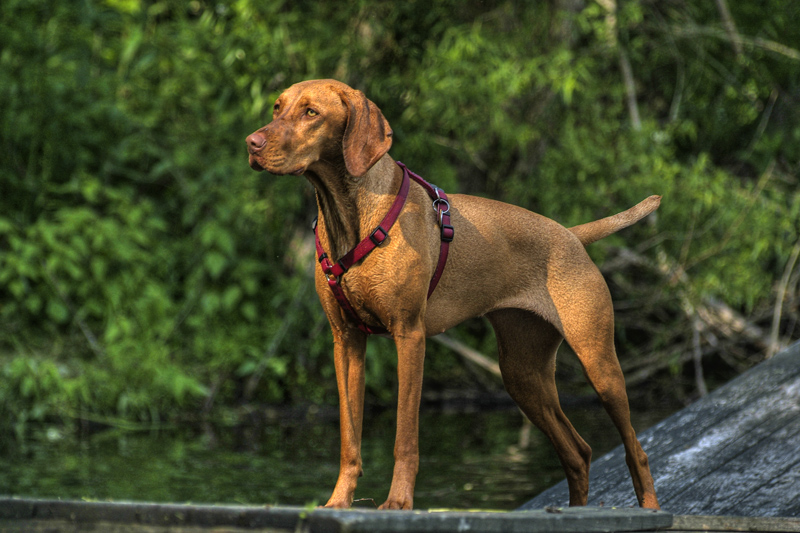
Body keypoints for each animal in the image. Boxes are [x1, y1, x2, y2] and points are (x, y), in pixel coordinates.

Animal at [247, 78, 660, 508]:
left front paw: (399, 502)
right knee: (578, 452)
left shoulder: (409, 336)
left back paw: (649, 508)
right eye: (277, 107)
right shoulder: (346, 342)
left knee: (636, 450)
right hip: (523, 374)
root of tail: (571, 235)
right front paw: (338, 501)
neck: (352, 214)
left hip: (599, 363)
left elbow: (405, 436)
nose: (251, 143)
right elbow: (349, 438)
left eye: (311, 112)